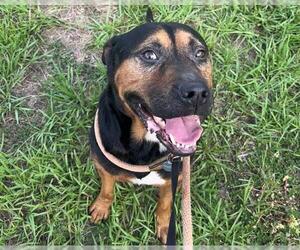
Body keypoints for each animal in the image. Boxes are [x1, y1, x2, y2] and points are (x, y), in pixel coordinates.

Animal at [89, 9, 213, 244]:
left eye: (200, 53)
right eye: (149, 54)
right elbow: (107, 189)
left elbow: (165, 203)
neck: (145, 142)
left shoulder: (173, 177)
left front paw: (165, 226)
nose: (198, 93)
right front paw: (101, 207)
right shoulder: (103, 166)